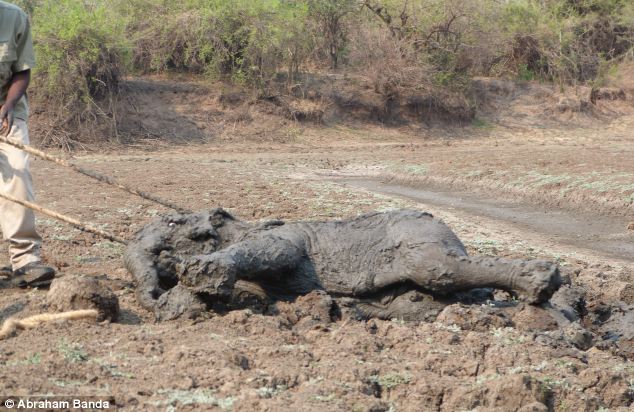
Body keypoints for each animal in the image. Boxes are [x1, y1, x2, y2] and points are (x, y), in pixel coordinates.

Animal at [126, 208, 560, 320]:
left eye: (175, 222)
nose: (154, 292)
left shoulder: (284, 241)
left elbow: (269, 253)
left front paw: (201, 275)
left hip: (423, 246)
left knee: (449, 270)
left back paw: (543, 282)